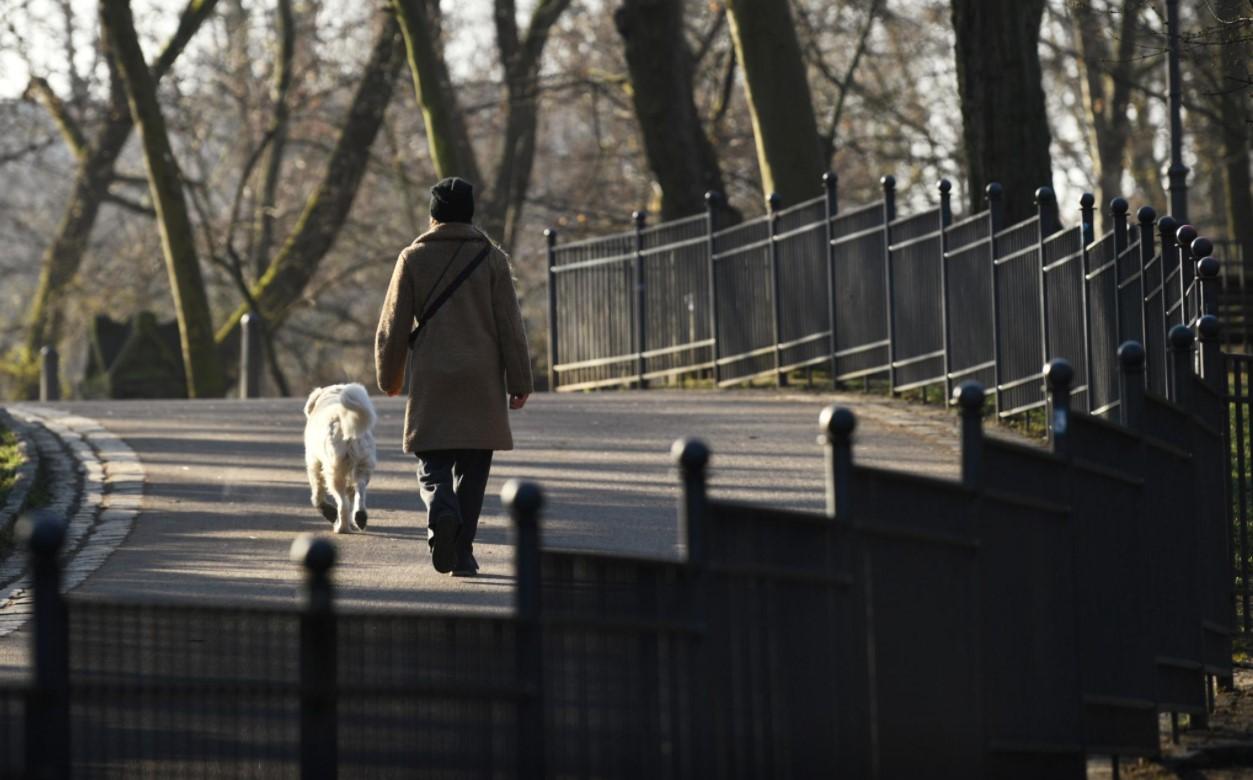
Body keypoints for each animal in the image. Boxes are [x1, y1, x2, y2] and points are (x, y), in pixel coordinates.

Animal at [303, 383, 375, 533]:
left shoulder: (313, 463)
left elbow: (317, 493)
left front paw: (328, 511)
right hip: (363, 465)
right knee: (359, 491)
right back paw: (359, 517)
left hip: (334, 471)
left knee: (343, 504)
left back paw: (341, 527)